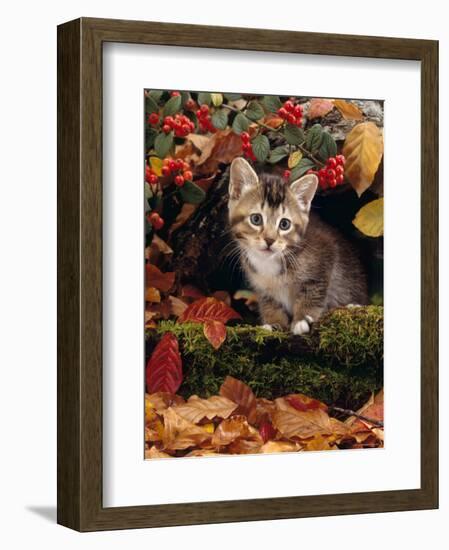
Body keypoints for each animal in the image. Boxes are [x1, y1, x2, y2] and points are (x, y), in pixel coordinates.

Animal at [228, 156, 368, 336]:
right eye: (256, 219)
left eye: (284, 224)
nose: (269, 240)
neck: (271, 262)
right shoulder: (263, 288)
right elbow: (270, 305)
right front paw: (274, 324)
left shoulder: (325, 256)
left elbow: (312, 294)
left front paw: (302, 319)